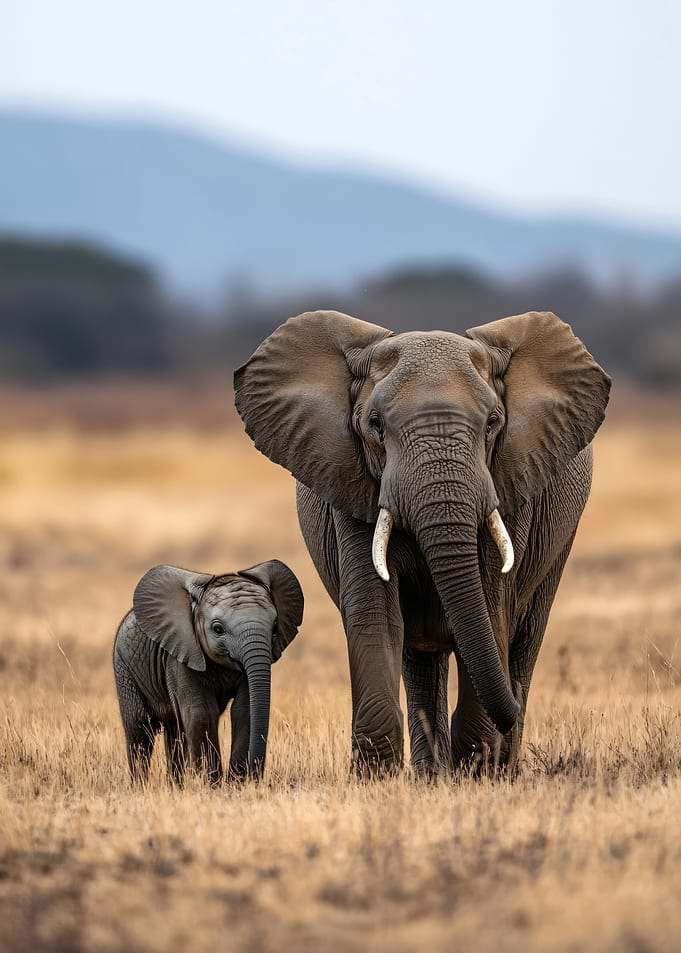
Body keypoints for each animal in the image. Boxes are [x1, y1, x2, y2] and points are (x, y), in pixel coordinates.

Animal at [113, 560, 303, 783]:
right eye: (218, 629)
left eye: (274, 628)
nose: (254, 774)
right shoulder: (180, 654)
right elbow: (201, 713)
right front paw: (212, 784)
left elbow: (244, 710)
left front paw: (237, 784)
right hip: (124, 669)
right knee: (139, 730)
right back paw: (141, 786)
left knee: (174, 732)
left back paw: (175, 787)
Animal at [234, 310, 610, 776]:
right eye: (375, 425)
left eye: (493, 423)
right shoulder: (353, 484)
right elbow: (375, 613)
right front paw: (376, 777)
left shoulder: (510, 482)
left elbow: (491, 608)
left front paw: (476, 770)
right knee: (420, 658)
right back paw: (435, 773)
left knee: (524, 640)